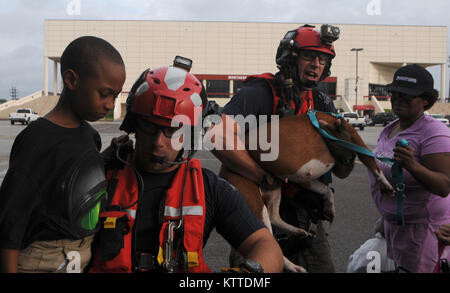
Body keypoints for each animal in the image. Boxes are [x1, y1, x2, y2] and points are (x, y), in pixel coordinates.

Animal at [219, 112, 394, 272]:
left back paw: (297, 231)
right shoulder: (356, 141)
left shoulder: (304, 177)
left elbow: (326, 190)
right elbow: (373, 165)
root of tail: (223, 170)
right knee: (270, 237)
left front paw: (329, 207)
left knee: (274, 216)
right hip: (254, 203)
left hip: (274, 186)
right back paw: (294, 267)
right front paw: (386, 184)